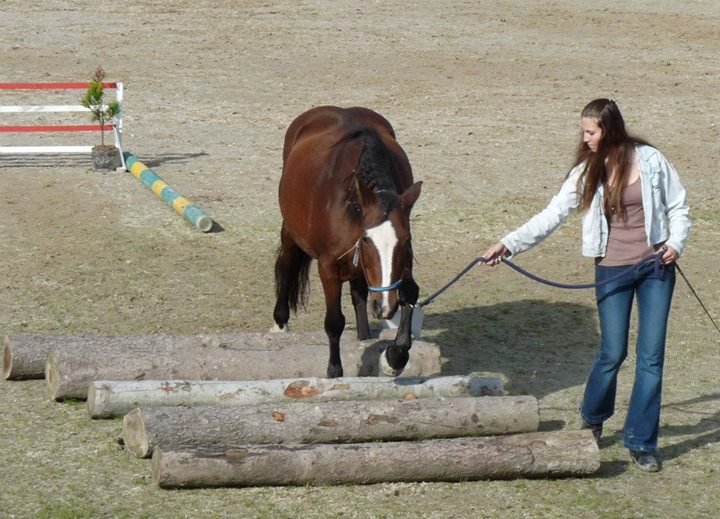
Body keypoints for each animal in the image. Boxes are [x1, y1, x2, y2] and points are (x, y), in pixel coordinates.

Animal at [274, 105, 422, 380]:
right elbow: (334, 321)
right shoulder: (328, 267)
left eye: (406, 240)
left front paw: (395, 357)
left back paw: (364, 335)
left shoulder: (402, 264)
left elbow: (409, 293)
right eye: (366, 239)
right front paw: (334, 369)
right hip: (291, 230)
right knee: (287, 263)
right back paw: (280, 322)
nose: (384, 306)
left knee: (359, 294)